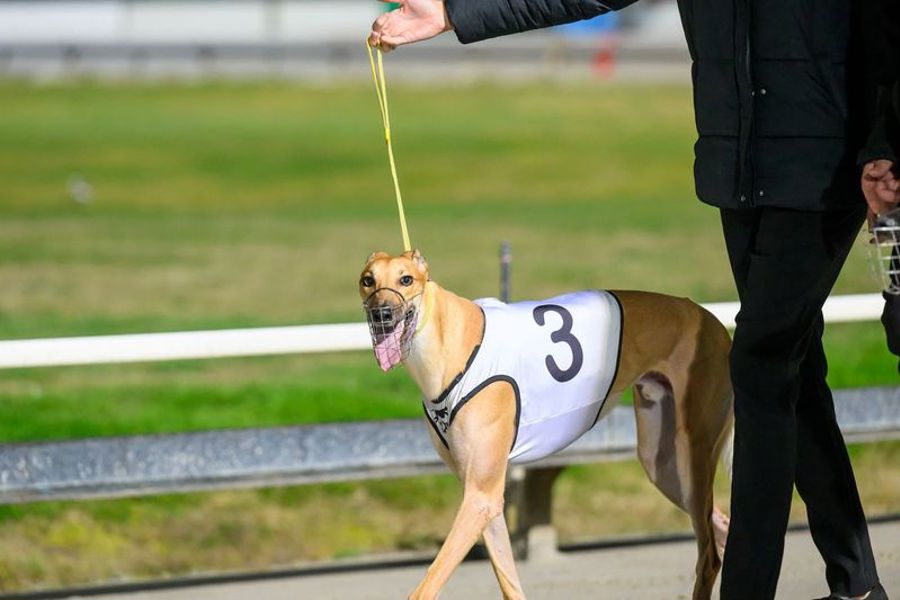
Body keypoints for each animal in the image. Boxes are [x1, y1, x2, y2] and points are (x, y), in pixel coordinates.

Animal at [359, 249, 734, 600]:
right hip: (663, 465)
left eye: (406, 279)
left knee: (708, 556)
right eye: (367, 280)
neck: (450, 345)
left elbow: (425, 587)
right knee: (721, 528)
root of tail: (709, 318)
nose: (381, 315)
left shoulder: (480, 497)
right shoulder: (484, 496)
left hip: (694, 454)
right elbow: (510, 583)